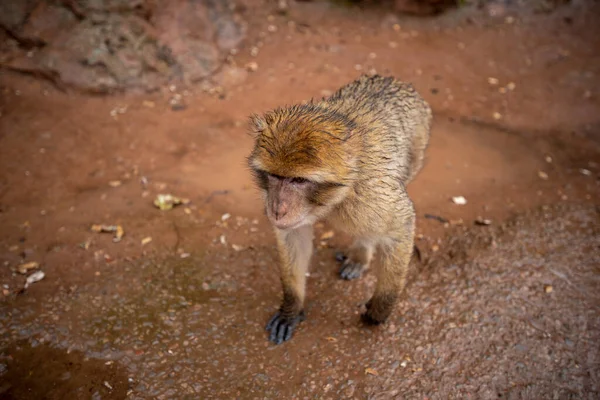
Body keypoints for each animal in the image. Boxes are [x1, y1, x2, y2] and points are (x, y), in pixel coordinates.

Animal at [245, 74, 432, 344]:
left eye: (298, 180)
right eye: (274, 176)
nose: (278, 209)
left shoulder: (372, 196)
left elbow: (401, 227)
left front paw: (379, 310)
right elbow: (294, 235)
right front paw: (291, 307)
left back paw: (361, 253)